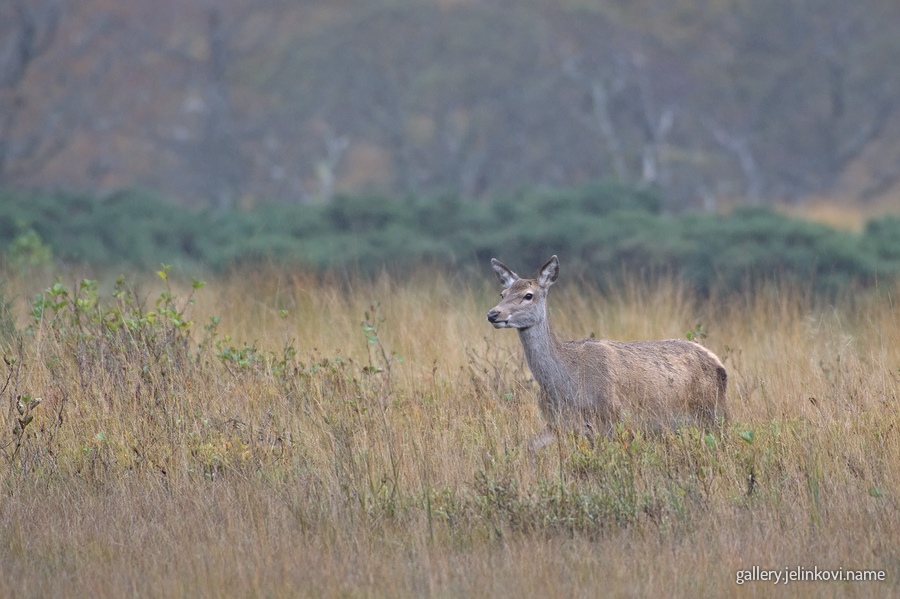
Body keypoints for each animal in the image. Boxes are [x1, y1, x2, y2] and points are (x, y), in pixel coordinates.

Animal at [487, 255, 727, 451]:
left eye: (528, 295)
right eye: (503, 293)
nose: (493, 314)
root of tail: (719, 365)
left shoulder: (613, 417)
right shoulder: (557, 423)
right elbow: (528, 446)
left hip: (712, 412)